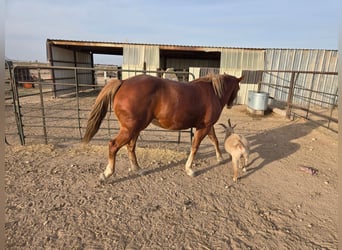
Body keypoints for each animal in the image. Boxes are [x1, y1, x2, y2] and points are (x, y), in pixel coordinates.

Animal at [84, 73, 242, 181]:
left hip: (135, 129)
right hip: (129, 129)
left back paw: (138, 169)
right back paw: (107, 174)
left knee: (130, 147)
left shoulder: (207, 126)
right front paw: (189, 169)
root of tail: (123, 82)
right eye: (238, 88)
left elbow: (214, 140)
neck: (212, 92)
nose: (231, 104)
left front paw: (220, 158)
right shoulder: (204, 127)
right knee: (113, 145)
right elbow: (195, 147)